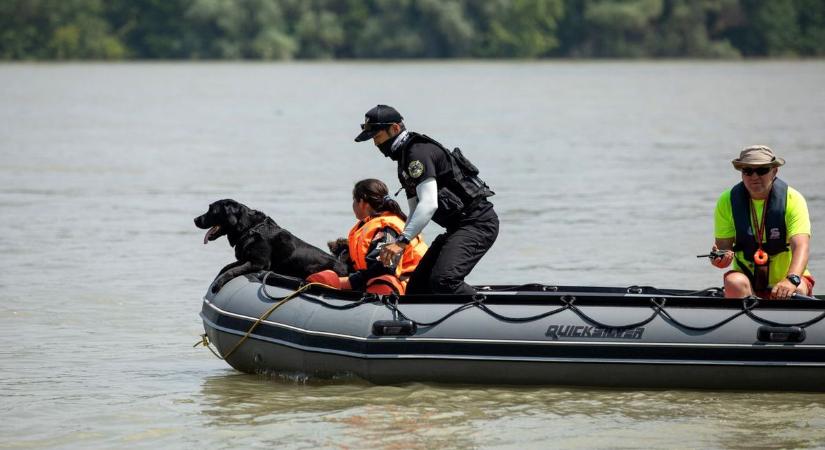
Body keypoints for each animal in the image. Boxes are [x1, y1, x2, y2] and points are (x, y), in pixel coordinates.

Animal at [195, 200, 346, 292]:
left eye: (211, 210)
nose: (195, 219)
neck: (250, 229)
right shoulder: (245, 259)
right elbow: (227, 267)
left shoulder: (258, 263)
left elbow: (231, 271)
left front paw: (218, 284)